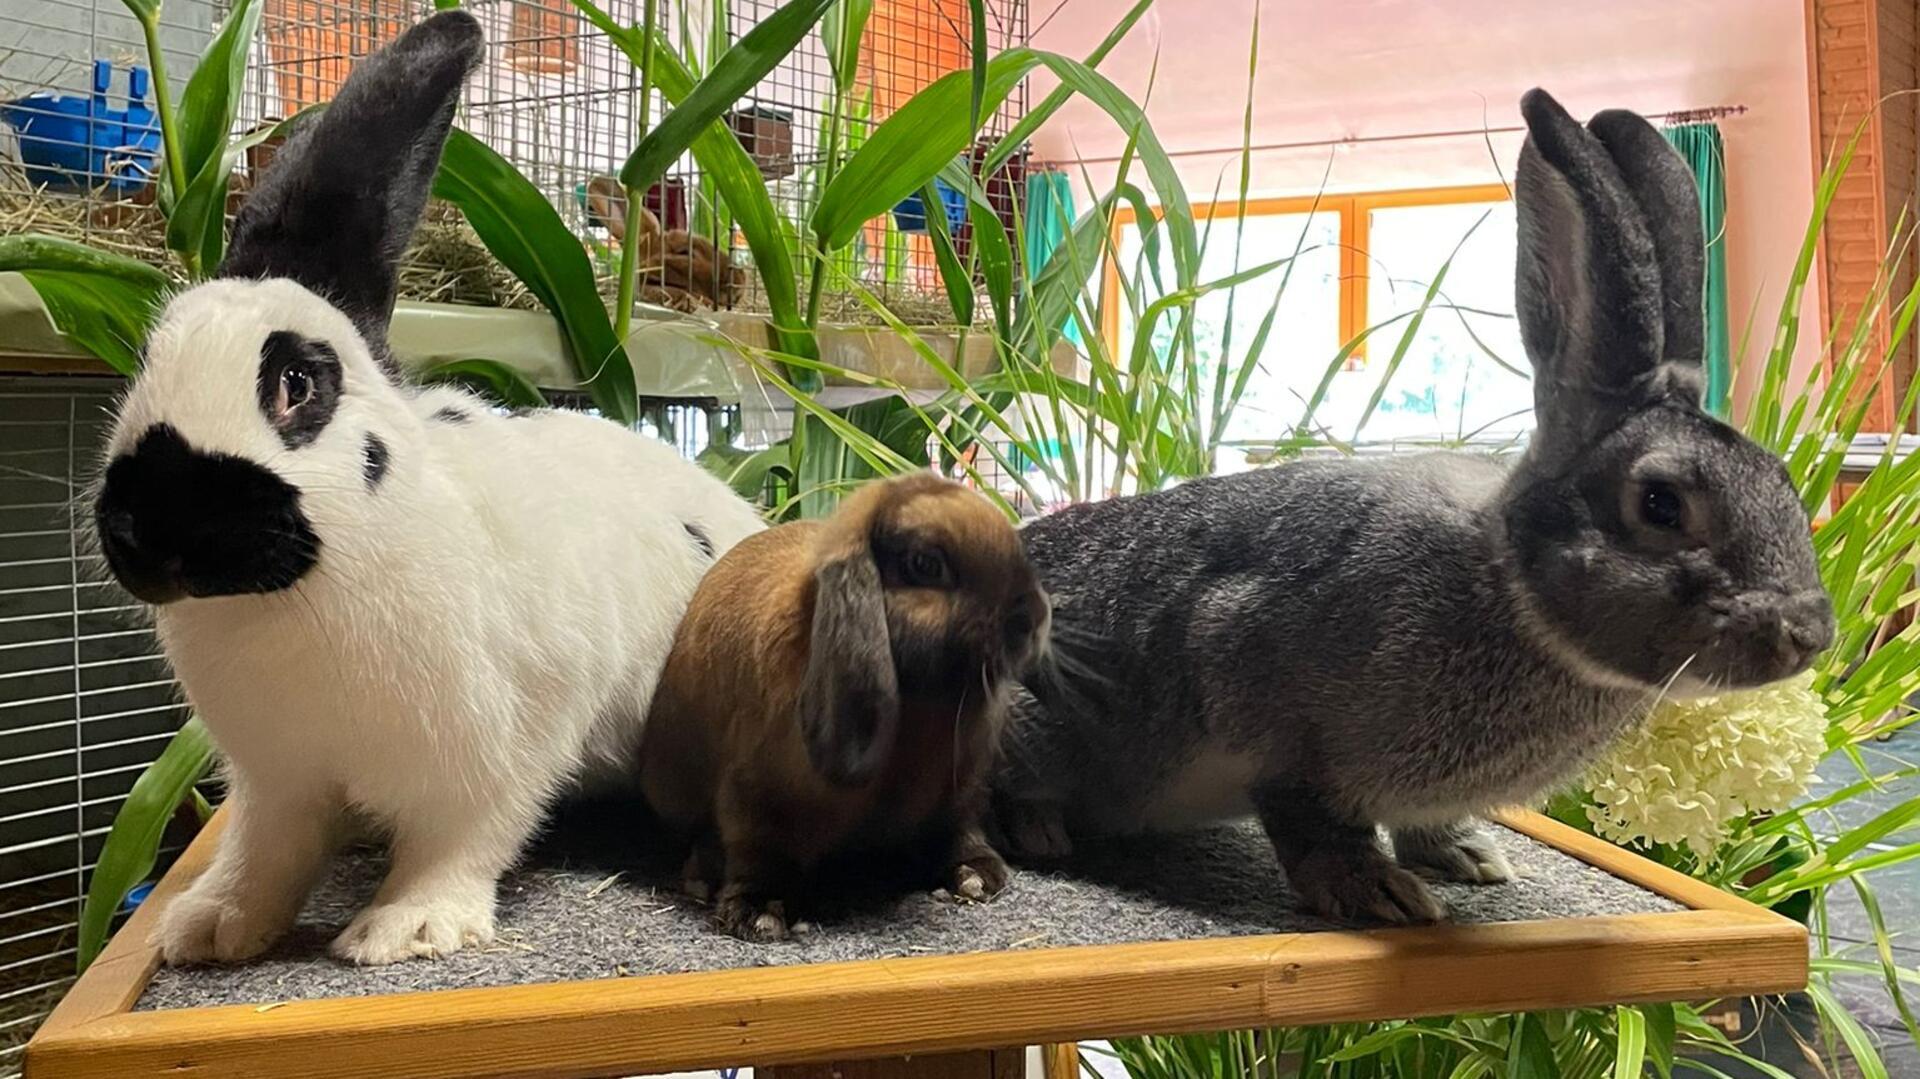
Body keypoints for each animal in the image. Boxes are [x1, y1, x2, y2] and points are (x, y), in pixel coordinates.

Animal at [91, 10, 764, 967]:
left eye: (298, 382)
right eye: (145, 363)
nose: (154, 530)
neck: (298, 596)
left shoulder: (501, 748)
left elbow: (464, 835)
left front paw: (405, 929)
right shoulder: (278, 780)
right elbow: (267, 851)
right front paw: (214, 925)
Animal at [998, 88, 1835, 921]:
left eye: (1784, 481)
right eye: (1661, 503)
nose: (1808, 635)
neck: (1506, 578)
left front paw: (1468, 857)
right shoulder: (1255, 687)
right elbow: (1307, 815)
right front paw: (1378, 893)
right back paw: (1034, 827)